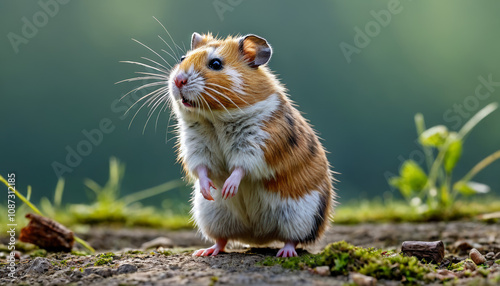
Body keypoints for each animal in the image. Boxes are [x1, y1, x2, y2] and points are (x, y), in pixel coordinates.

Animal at [169, 31, 336, 256]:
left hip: (300, 215)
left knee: (292, 239)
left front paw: (228, 189)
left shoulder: (259, 144)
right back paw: (206, 251)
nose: (178, 80)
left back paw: (285, 253)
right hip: (212, 215)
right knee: (222, 240)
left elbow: (241, 168)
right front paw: (210, 190)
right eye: (182, 58)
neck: (214, 118)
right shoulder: (195, 146)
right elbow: (202, 169)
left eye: (215, 63)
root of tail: (258, 237)